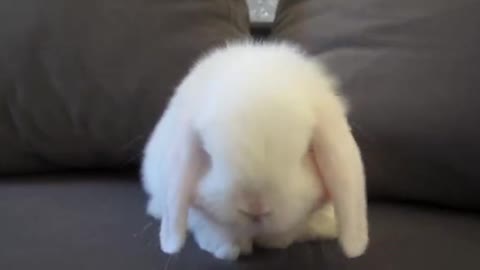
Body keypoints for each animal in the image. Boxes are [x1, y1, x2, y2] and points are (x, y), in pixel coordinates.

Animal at [141, 41, 370, 260]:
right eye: (209, 155)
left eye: (306, 151)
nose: (255, 208)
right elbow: (211, 227)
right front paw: (230, 248)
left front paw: (275, 241)